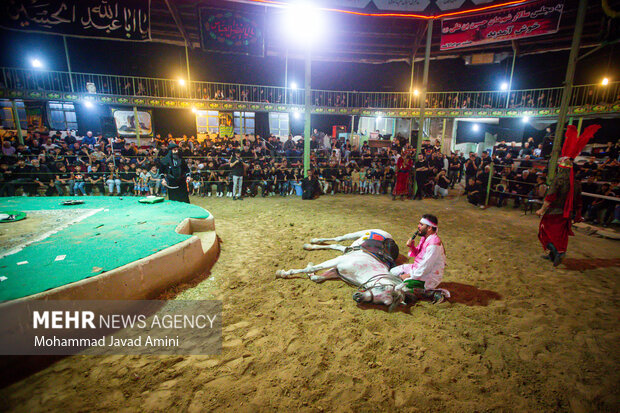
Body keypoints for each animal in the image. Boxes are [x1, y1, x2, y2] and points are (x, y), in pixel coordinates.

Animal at [276, 229, 406, 308]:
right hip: (355, 234)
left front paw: (311, 272)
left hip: (348, 249)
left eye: (384, 303)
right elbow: (311, 269)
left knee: (338, 246)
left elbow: (316, 278)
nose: (358, 298)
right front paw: (283, 273)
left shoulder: (338, 270)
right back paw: (313, 241)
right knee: (339, 239)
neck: (363, 271)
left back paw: (309, 246)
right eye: (381, 287)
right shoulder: (338, 262)